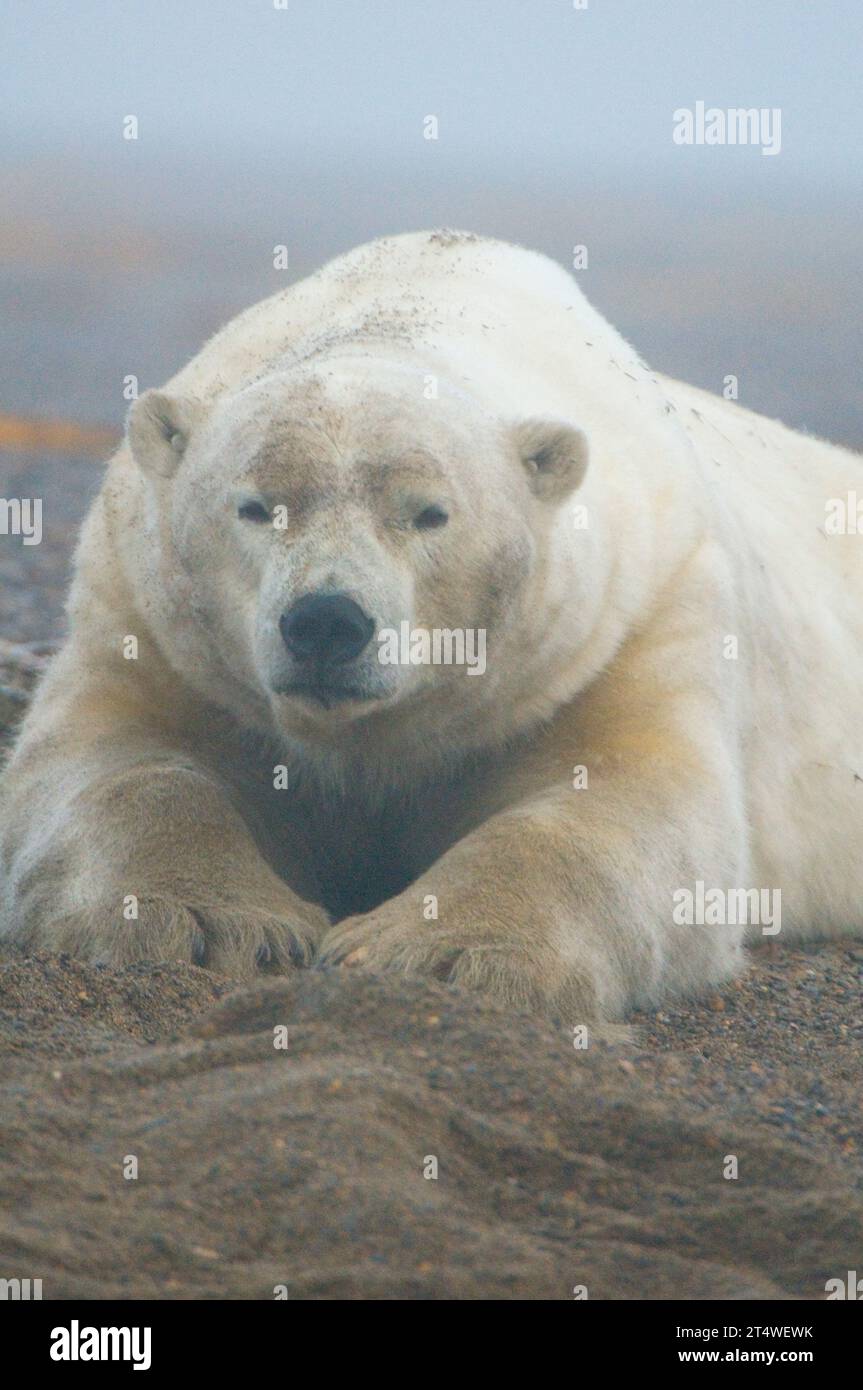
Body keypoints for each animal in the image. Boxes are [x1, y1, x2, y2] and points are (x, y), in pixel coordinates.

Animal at [1, 229, 861, 1021]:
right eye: (255, 506)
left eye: (427, 513)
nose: (325, 622)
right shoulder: (148, 623)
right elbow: (112, 766)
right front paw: (215, 921)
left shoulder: (628, 623)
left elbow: (627, 807)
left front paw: (432, 952)